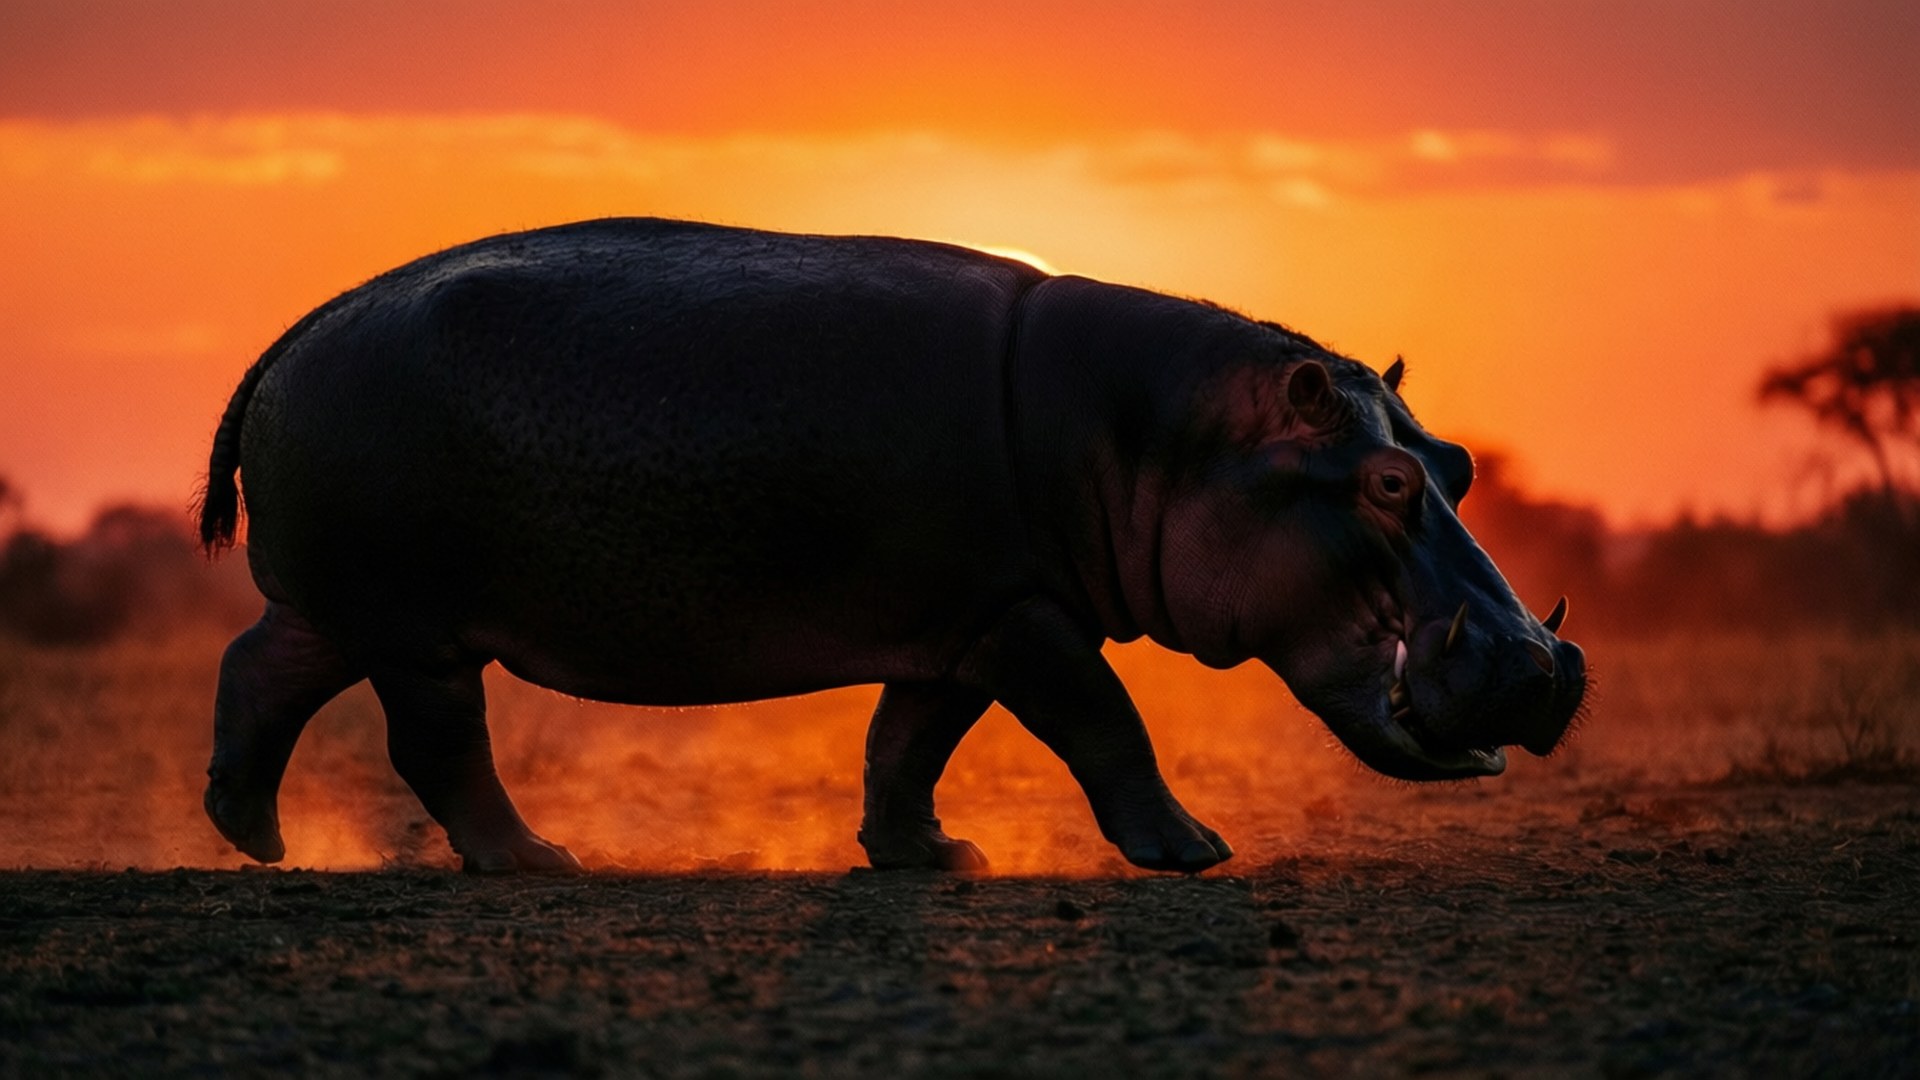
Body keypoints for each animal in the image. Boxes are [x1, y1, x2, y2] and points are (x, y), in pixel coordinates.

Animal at [198, 217, 1585, 874]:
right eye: (1388, 482)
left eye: (1459, 464)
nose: (1538, 664)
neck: (1171, 436)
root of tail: (298, 329)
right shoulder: (1028, 617)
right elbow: (1106, 722)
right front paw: (1194, 853)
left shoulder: (966, 622)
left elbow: (907, 746)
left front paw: (935, 858)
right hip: (418, 629)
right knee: (435, 743)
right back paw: (539, 862)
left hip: (345, 607)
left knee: (257, 671)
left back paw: (255, 840)